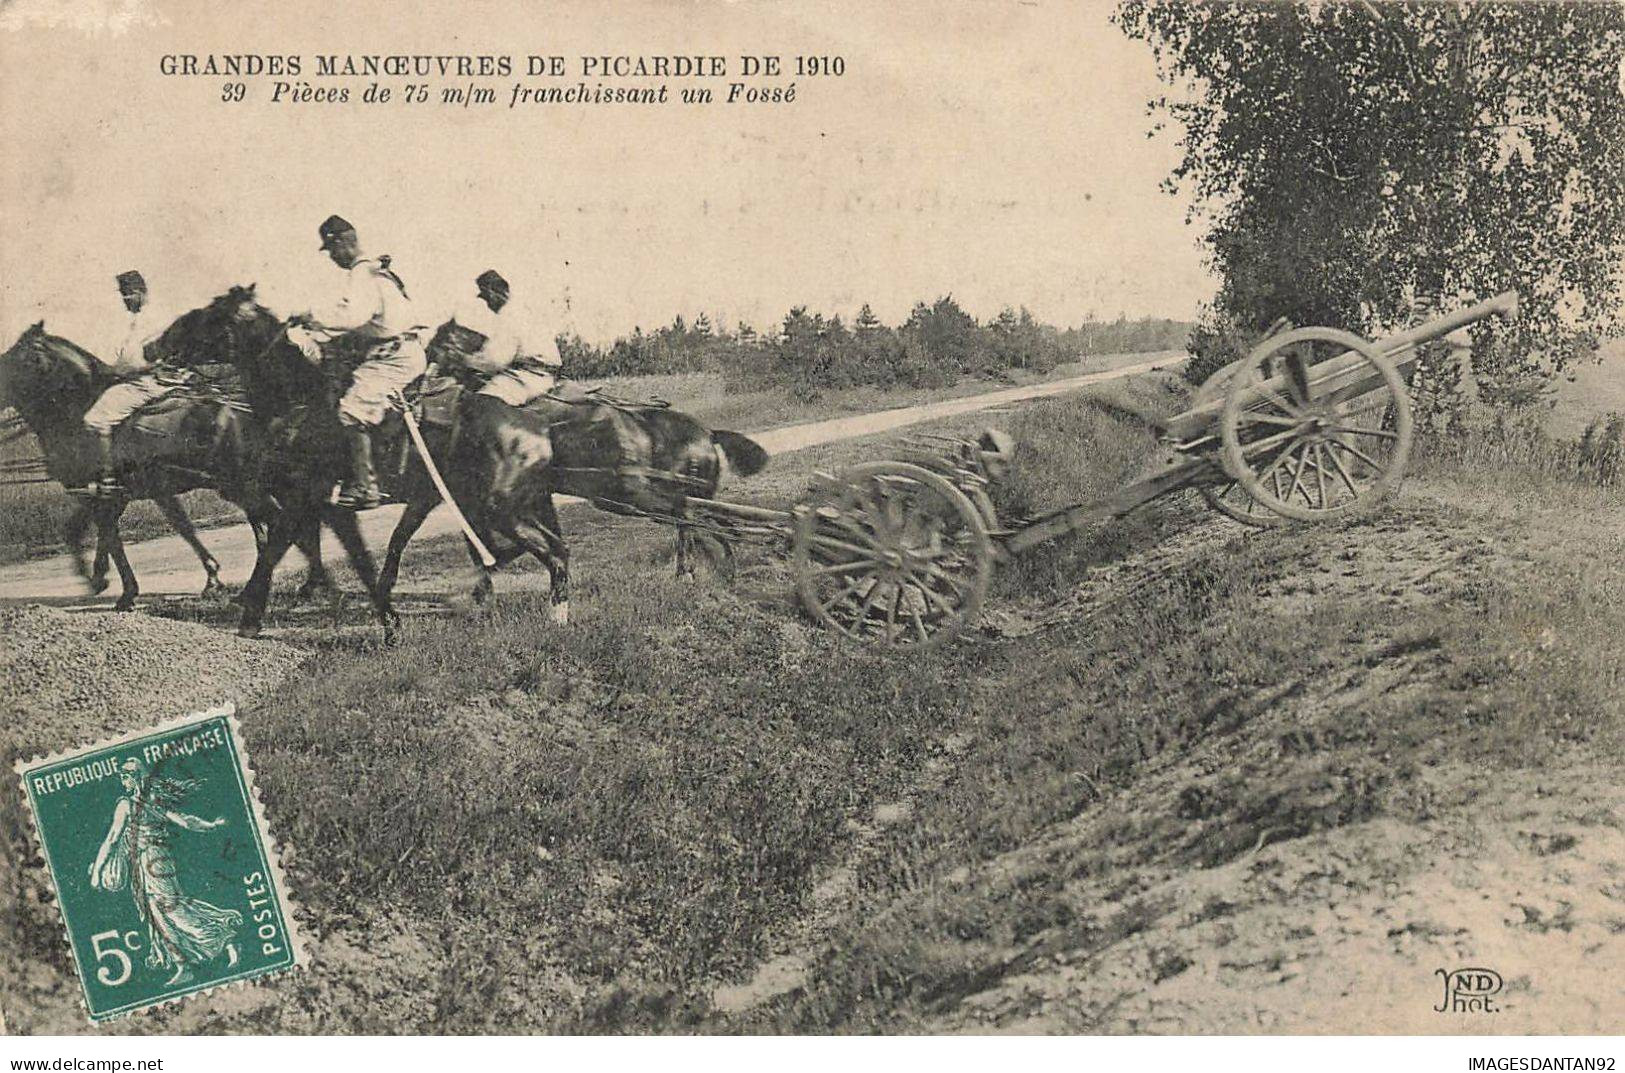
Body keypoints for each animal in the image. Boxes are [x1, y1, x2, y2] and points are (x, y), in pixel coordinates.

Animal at [0, 312, 329, 611]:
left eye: (15, 358)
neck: (76, 411)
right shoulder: (118, 494)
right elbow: (107, 533)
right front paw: (104, 579)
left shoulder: (110, 494)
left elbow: (110, 535)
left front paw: (119, 589)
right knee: (297, 524)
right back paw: (305, 584)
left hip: (244, 487)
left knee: (285, 524)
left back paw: (271, 590)